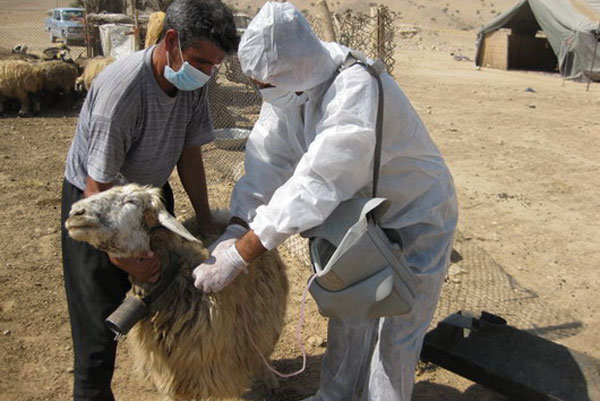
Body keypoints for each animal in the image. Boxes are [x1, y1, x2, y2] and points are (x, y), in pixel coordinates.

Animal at [64, 184, 290, 400]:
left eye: (131, 201)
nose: (76, 213)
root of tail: (223, 213)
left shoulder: (206, 368)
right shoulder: (173, 376)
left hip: (265, 320)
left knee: (262, 352)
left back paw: (270, 381)